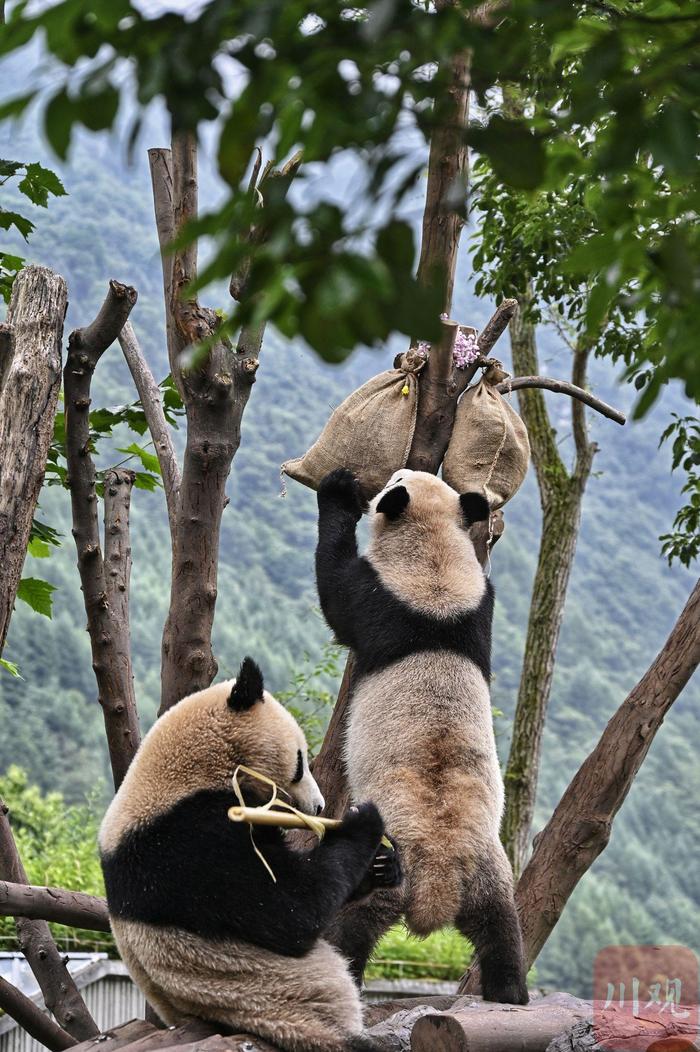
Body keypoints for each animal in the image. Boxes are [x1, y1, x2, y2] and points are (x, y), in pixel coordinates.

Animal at [101, 656, 402, 1052]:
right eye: (300, 762)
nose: (320, 806)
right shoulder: (189, 839)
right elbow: (291, 908)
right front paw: (363, 821)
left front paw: (383, 866)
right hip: (294, 1008)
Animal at [315, 467, 524, 1001]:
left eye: (396, 475)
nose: (397, 472)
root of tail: (437, 888)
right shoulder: (481, 601)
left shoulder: (381, 596)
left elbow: (335, 591)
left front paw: (339, 491)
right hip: (488, 873)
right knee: (503, 931)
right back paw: (511, 993)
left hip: (389, 873)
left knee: (352, 928)